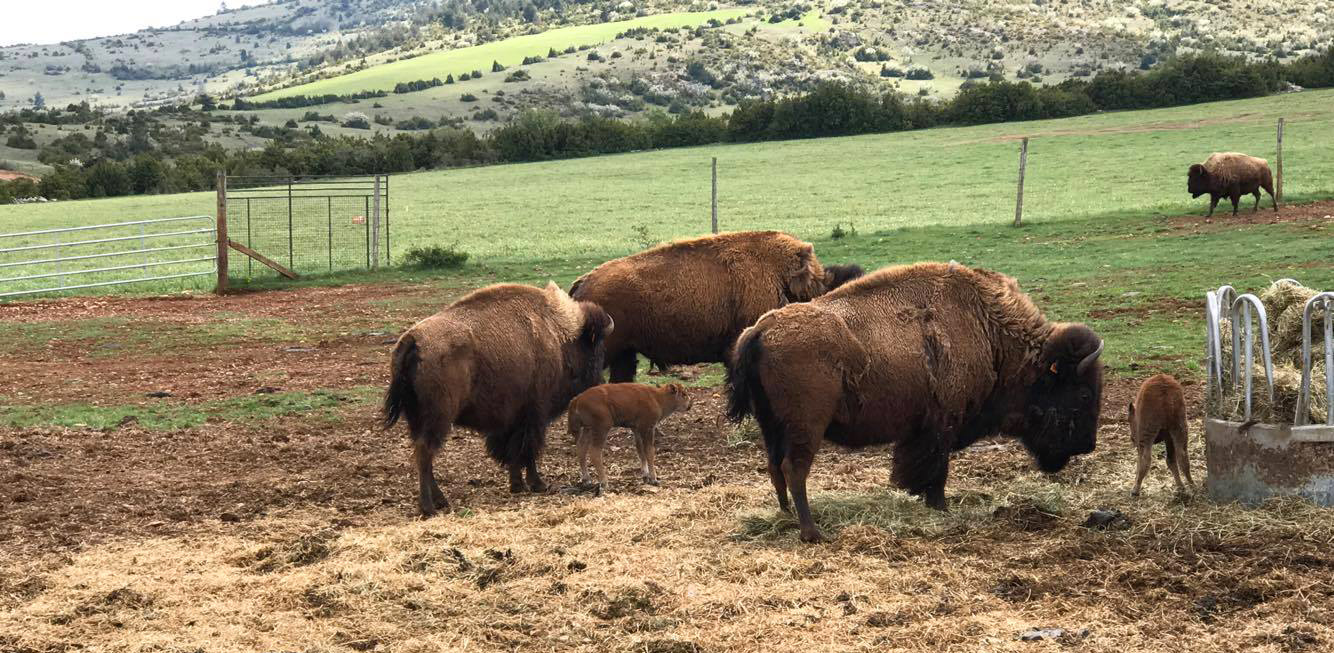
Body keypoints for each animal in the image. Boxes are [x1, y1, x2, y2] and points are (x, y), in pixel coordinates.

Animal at [384, 281, 610, 514]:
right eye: (596, 348)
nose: (599, 382)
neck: (557, 334)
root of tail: (412, 340)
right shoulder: (535, 413)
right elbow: (528, 449)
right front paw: (538, 484)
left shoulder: (512, 417)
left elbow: (513, 450)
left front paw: (517, 485)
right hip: (438, 417)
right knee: (424, 452)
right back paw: (429, 507)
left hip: (417, 418)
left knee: (424, 455)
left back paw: (441, 501)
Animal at [565, 383, 693, 495]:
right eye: (683, 394)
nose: (689, 405)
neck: (658, 398)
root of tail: (577, 399)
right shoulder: (648, 428)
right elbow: (649, 452)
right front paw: (654, 479)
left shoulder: (636, 429)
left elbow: (641, 451)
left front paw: (645, 476)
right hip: (601, 428)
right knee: (595, 452)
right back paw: (604, 483)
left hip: (587, 429)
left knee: (581, 449)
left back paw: (587, 480)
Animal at [731, 259, 1104, 541]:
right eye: (1084, 393)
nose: (1087, 445)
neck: (990, 331)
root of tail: (760, 331)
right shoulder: (943, 423)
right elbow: (936, 470)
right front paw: (940, 507)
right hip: (806, 427)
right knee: (794, 469)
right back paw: (812, 532)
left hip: (772, 426)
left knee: (775, 467)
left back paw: (785, 516)